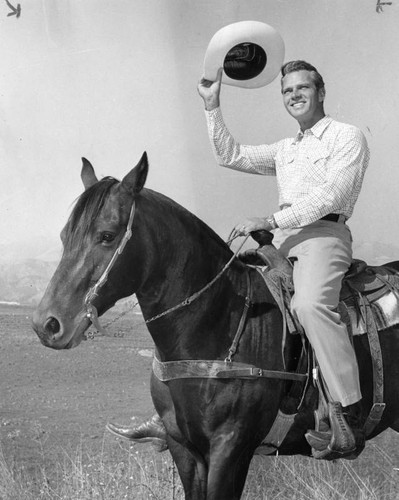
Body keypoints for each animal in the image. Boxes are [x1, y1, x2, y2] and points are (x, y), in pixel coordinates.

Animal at [32, 152, 399, 500]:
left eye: (107, 236)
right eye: (64, 236)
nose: (47, 324)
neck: (218, 325)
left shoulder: (230, 448)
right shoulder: (184, 448)